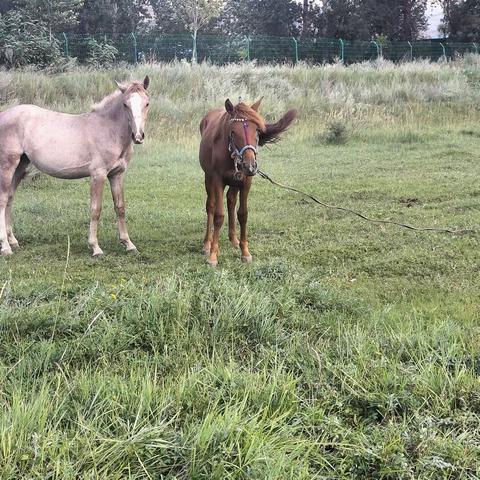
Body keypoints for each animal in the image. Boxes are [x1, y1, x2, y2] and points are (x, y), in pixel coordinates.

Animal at [0, 76, 150, 255]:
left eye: (147, 103)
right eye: (125, 104)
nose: (138, 136)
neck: (108, 130)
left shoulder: (117, 174)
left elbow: (120, 207)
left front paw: (129, 244)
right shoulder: (98, 175)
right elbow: (95, 209)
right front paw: (95, 247)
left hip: (20, 166)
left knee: (9, 198)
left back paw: (13, 241)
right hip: (7, 165)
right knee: (2, 200)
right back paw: (6, 247)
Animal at [199, 98, 296, 266]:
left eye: (257, 131)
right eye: (233, 132)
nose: (250, 166)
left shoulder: (245, 182)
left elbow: (243, 214)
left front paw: (245, 252)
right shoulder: (217, 180)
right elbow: (218, 215)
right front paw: (213, 255)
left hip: (235, 181)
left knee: (231, 201)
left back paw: (234, 239)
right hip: (208, 178)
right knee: (210, 206)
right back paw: (207, 244)